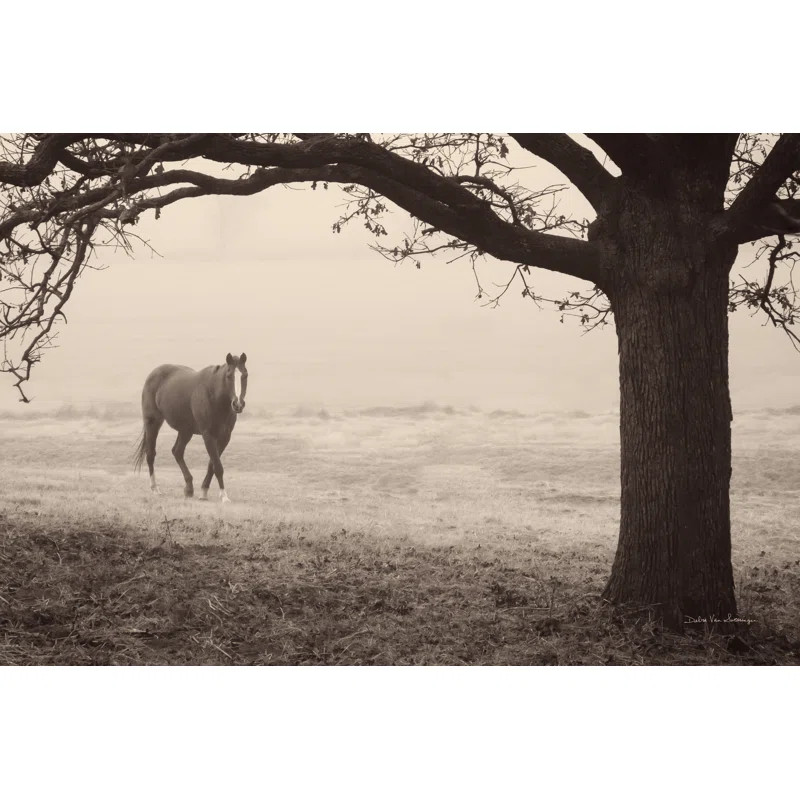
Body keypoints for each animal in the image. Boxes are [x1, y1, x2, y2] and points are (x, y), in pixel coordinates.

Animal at [133, 353, 248, 502]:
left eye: (245, 375)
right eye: (229, 376)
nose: (238, 404)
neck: (214, 396)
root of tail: (153, 374)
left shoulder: (224, 437)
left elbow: (212, 465)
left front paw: (204, 492)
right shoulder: (208, 435)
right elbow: (218, 466)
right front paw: (224, 496)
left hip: (185, 431)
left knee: (177, 451)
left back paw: (188, 488)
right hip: (153, 423)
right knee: (151, 454)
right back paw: (155, 489)